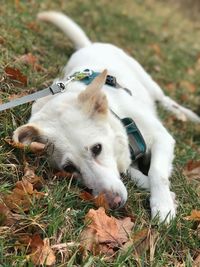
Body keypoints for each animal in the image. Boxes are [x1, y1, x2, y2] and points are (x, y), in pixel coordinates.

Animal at [13, 11, 199, 223]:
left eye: (97, 148)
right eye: (69, 168)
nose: (113, 203)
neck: (121, 120)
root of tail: (89, 45)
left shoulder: (162, 138)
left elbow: (157, 172)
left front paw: (162, 207)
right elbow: (133, 174)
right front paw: (158, 191)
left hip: (149, 82)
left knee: (165, 99)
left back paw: (186, 115)